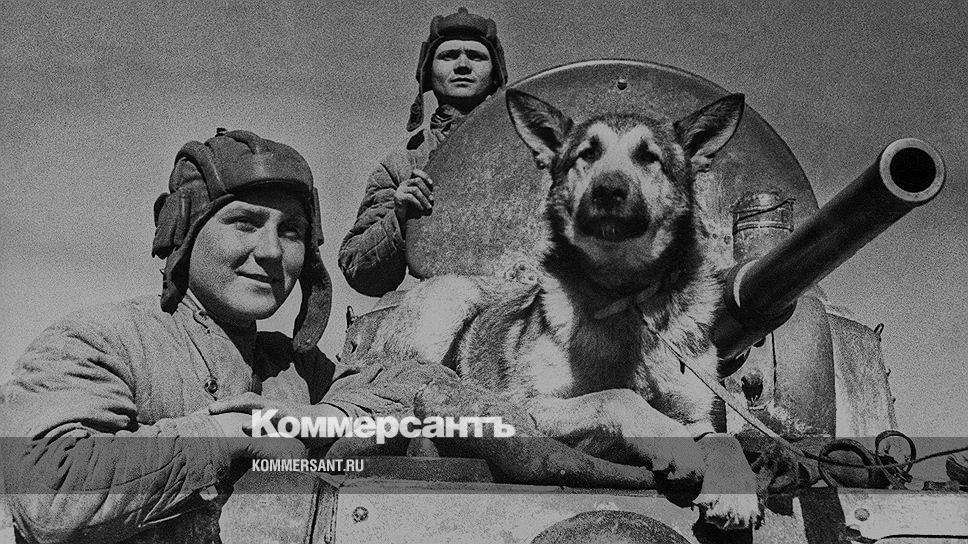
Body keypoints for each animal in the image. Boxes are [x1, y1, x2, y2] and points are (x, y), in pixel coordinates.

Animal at [357, 88, 760, 530]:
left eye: (649, 157)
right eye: (587, 153)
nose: (608, 190)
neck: (624, 295)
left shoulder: (696, 413)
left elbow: (725, 439)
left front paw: (737, 491)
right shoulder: (530, 407)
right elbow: (616, 396)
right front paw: (672, 441)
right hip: (450, 303)